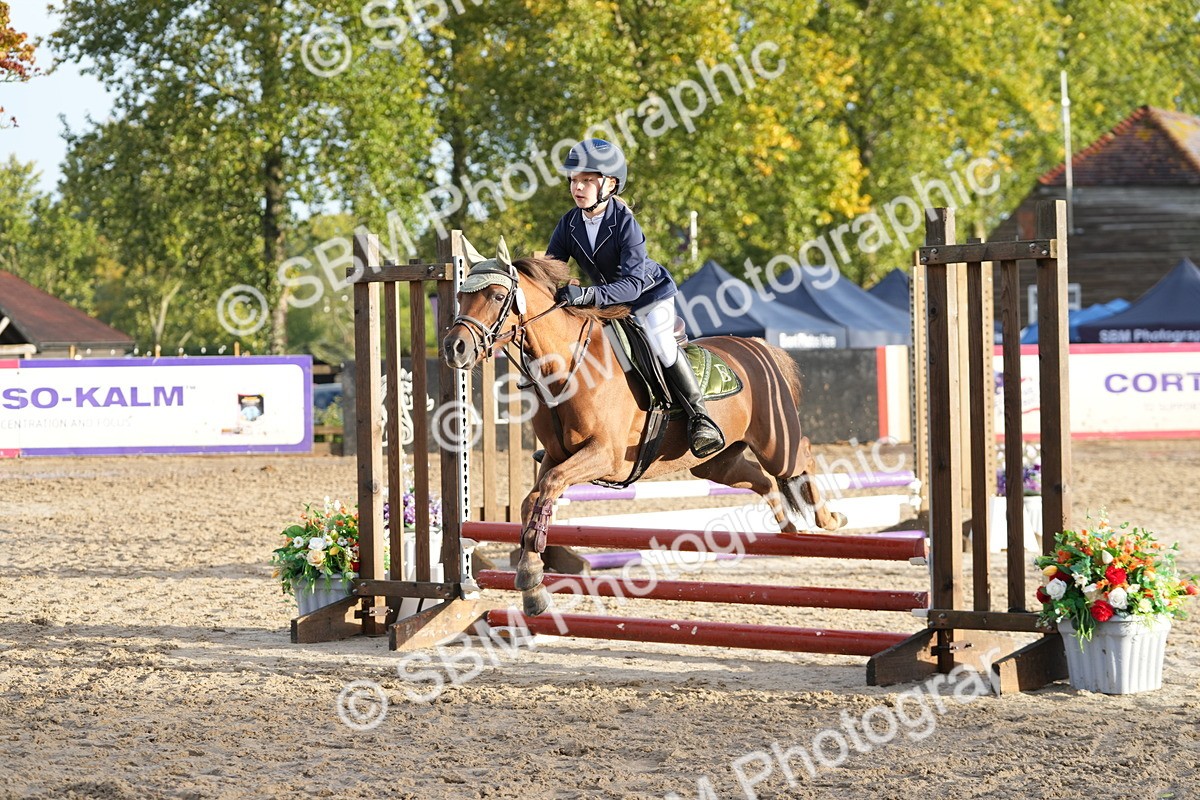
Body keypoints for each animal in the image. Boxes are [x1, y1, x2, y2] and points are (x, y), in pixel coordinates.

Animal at [442, 243, 847, 616]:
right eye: (461, 295)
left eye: (497, 296)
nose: (453, 347)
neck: (568, 365)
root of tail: (756, 346)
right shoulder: (557, 456)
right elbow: (533, 501)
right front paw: (533, 584)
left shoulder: (604, 456)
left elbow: (550, 487)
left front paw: (530, 577)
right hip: (716, 463)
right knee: (761, 480)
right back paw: (790, 530)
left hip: (775, 444)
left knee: (802, 456)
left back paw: (829, 519)